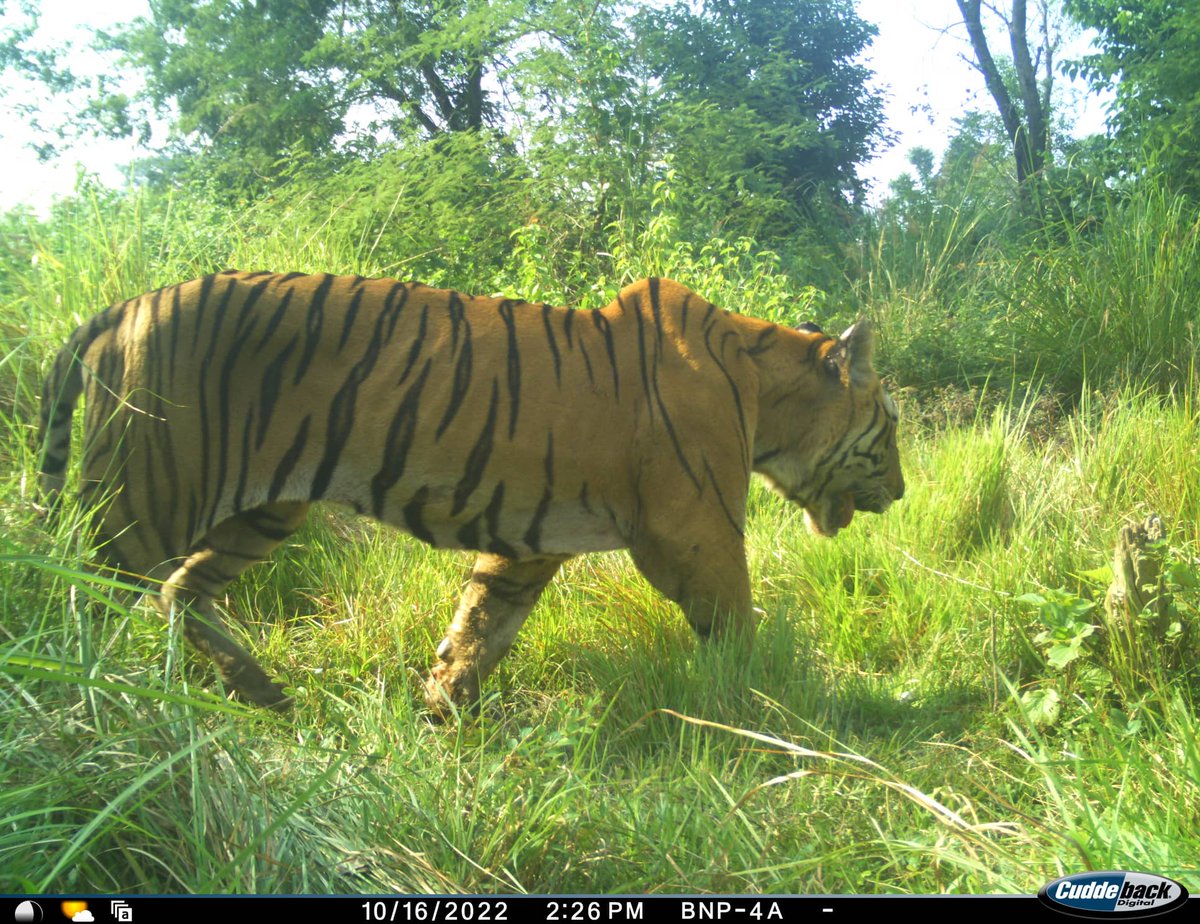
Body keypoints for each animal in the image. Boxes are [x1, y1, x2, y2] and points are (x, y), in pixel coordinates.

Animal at [38, 272, 904, 717]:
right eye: (890, 425)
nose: (899, 491)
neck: (767, 393)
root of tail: (123, 307)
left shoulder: (530, 540)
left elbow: (483, 623)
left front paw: (441, 706)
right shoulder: (699, 529)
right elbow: (737, 625)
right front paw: (776, 709)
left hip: (263, 508)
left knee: (182, 590)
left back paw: (261, 692)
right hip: (148, 496)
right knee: (85, 593)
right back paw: (91, 703)